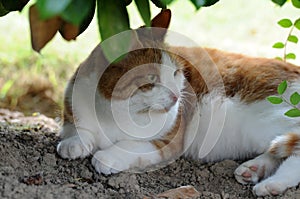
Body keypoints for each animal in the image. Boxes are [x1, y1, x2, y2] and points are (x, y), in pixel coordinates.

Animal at [57, 9, 300, 196]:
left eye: (175, 73)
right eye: (151, 80)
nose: (176, 97)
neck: (116, 113)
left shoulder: (170, 141)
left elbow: (130, 145)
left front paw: (107, 156)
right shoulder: (73, 101)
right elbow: (75, 126)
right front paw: (74, 142)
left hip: (265, 123)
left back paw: (271, 185)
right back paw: (254, 169)